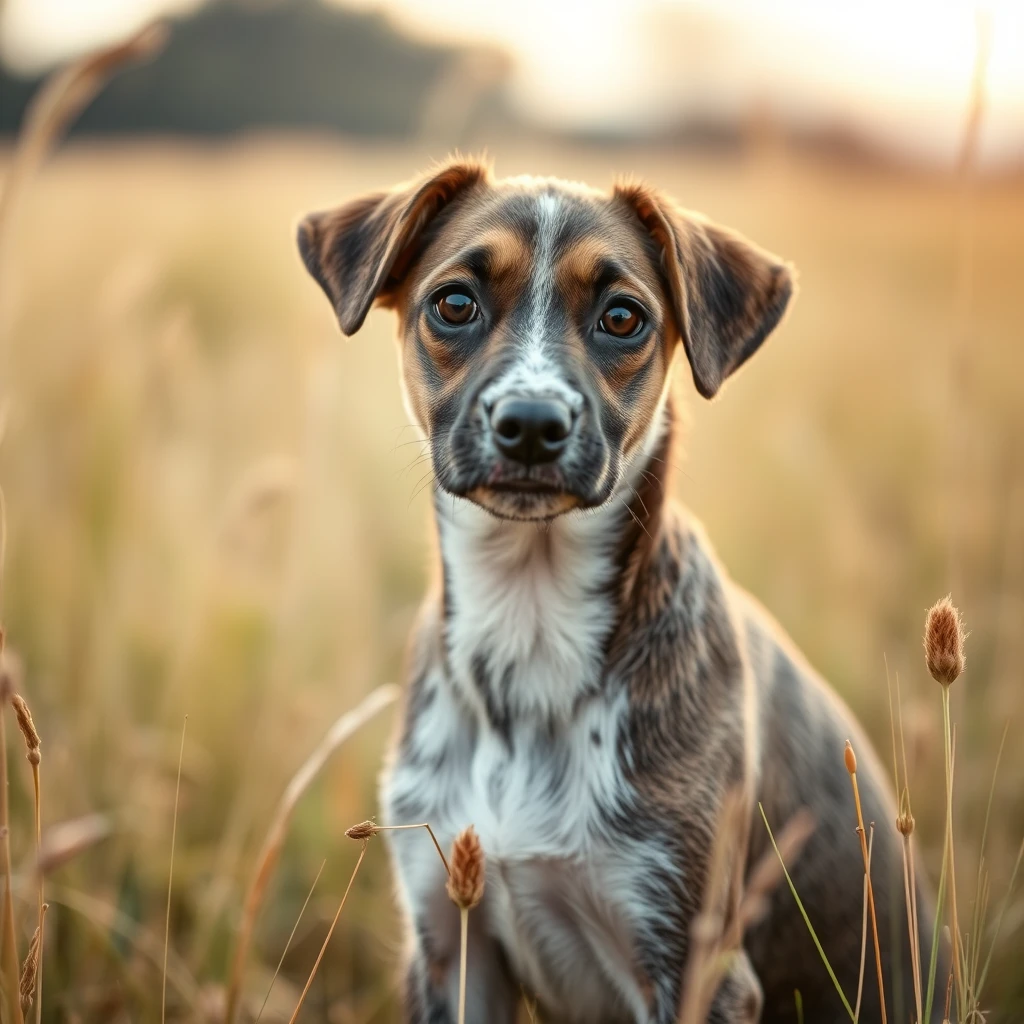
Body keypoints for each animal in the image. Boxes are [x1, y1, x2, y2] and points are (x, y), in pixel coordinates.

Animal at [296, 159, 937, 1024]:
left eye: (623, 317)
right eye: (454, 303)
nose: (532, 424)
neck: (530, 623)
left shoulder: (690, 962)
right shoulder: (449, 947)